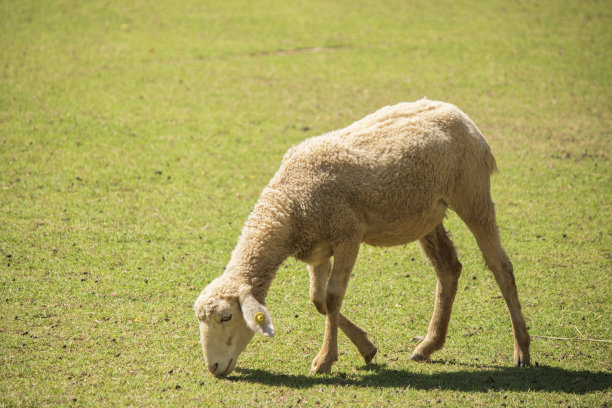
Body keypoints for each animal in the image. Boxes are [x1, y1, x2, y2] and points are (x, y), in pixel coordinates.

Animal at [195, 98, 532, 376]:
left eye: (226, 317)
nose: (213, 368)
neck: (288, 207)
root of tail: (460, 114)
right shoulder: (316, 249)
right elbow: (318, 300)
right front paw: (366, 347)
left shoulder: (348, 234)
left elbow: (332, 297)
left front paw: (324, 360)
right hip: (427, 214)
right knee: (448, 268)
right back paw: (428, 346)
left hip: (472, 192)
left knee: (501, 267)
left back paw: (522, 352)